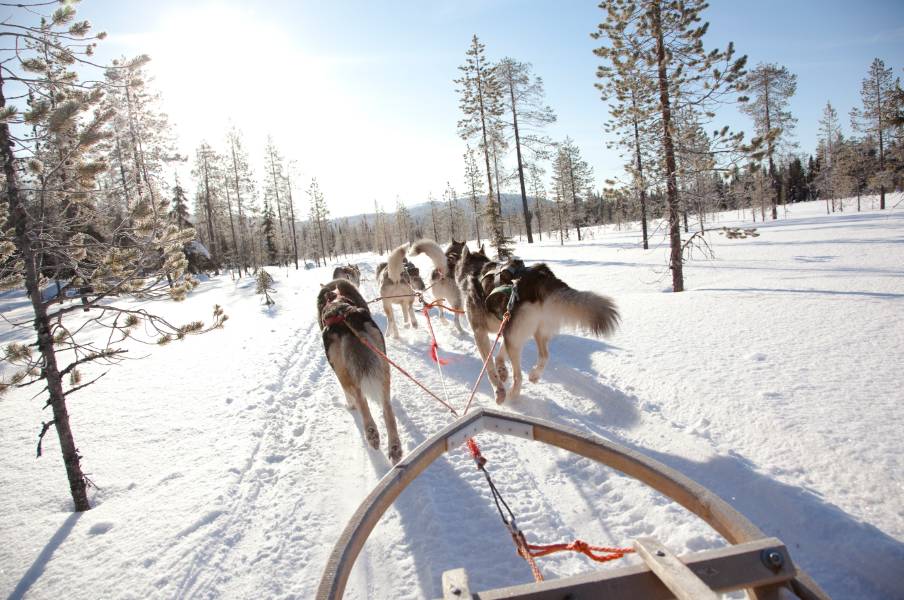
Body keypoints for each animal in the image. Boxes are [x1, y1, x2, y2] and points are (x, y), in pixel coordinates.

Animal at [318, 278, 402, 464]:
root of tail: (345, 317)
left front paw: (350, 406)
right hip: (383, 364)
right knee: (387, 408)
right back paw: (395, 448)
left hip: (343, 372)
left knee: (359, 396)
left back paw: (371, 432)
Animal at [456, 244, 616, 404]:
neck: (475, 270)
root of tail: (540, 276)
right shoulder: (505, 327)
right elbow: (500, 354)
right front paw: (502, 370)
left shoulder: (480, 332)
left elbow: (489, 366)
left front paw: (499, 389)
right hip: (534, 332)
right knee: (545, 356)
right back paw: (534, 375)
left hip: (514, 338)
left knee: (519, 376)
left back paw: (513, 394)